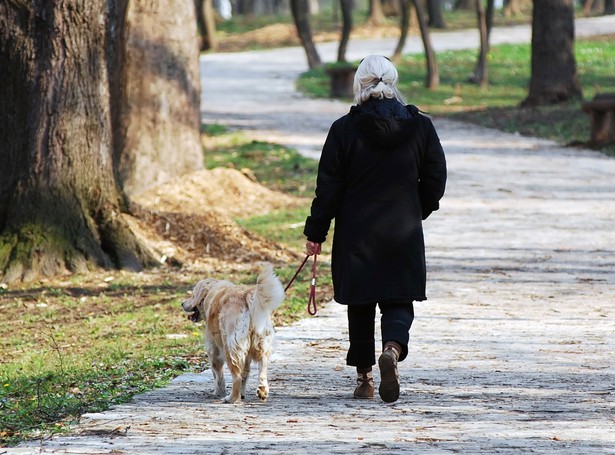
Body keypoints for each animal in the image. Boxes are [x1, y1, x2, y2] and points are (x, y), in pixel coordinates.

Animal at [183, 264, 286, 406]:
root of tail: (246, 296)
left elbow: (217, 373)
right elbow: (245, 374)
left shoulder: (213, 347)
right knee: (262, 369)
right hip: (261, 345)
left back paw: (231, 398)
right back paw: (262, 391)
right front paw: (242, 393)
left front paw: (219, 391)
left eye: (193, 295)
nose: (182, 303)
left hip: (231, 346)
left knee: (236, 376)